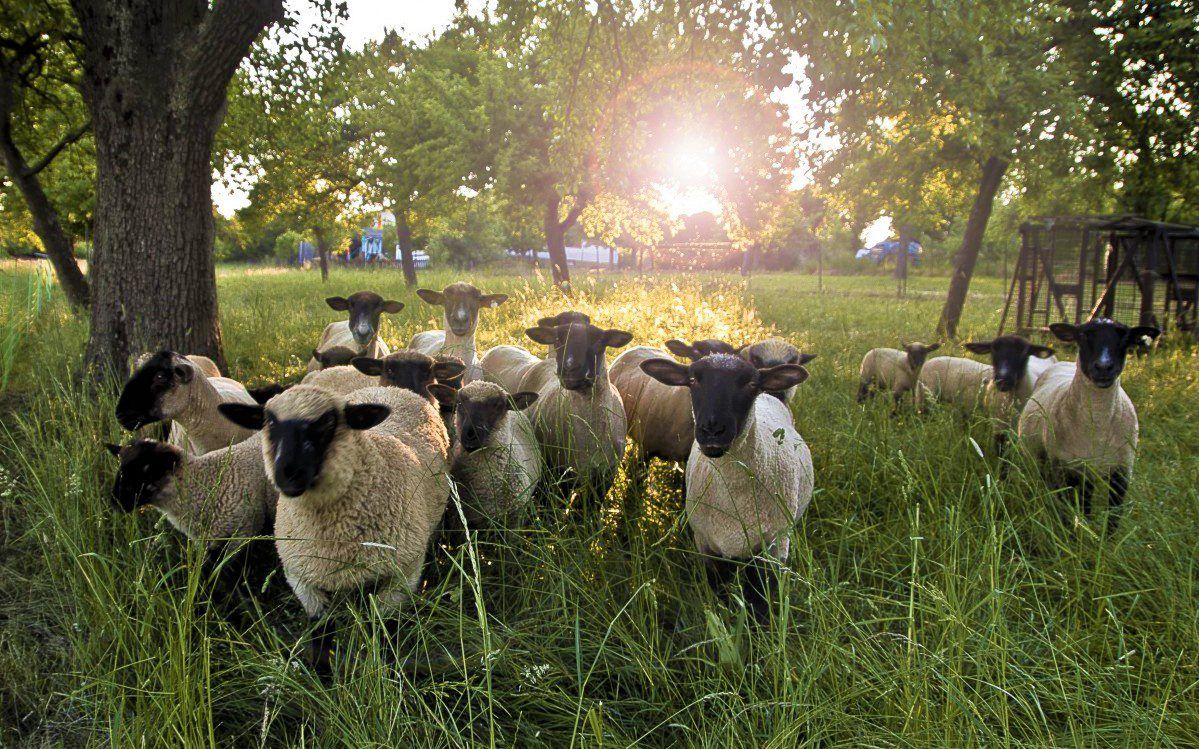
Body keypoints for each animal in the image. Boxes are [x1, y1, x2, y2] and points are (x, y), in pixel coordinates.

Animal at [219, 385, 450, 670]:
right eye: (270, 422)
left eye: (327, 422)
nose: (288, 473)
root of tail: (389, 388)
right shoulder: (302, 578)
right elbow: (321, 635)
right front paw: (323, 673)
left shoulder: (404, 574)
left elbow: (382, 628)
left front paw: (382, 667)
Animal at [640, 354, 813, 621]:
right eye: (692, 380)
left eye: (751, 384)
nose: (713, 430)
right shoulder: (707, 545)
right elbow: (720, 593)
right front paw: (725, 618)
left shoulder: (774, 546)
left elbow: (758, 600)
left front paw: (759, 629)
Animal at [1017, 319, 1159, 526]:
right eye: (1082, 336)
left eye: (1125, 337)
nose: (1104, 367)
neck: (1098, 426)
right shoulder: (1066, 469)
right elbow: (1069, 512)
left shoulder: (1122, 472)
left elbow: (1113, 517)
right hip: (1046, 460)